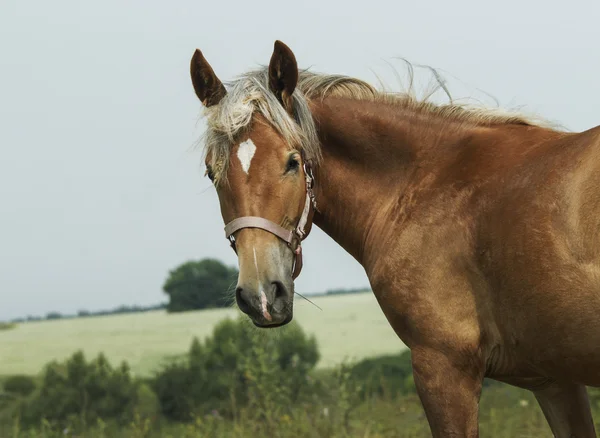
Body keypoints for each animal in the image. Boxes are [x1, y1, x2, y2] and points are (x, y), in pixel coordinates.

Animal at [188, 40, 600, 434]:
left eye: (292, 162)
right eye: (211, 172)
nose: (261, 295)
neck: (424, 183)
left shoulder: (444, 367)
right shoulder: (555, 381)